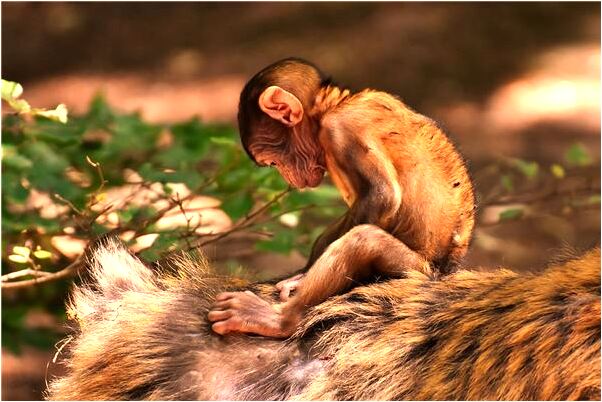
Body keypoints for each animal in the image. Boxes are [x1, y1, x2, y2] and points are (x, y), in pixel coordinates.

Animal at [206, 56, 474, 338]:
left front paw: (302, 280)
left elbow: (381, 195)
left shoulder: (340, 127)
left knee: (363, 241)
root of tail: (446, 273)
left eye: (272, 161)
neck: (333, 106)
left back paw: (280, 319)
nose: (287, 177)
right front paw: (303, 271)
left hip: (413, 270)